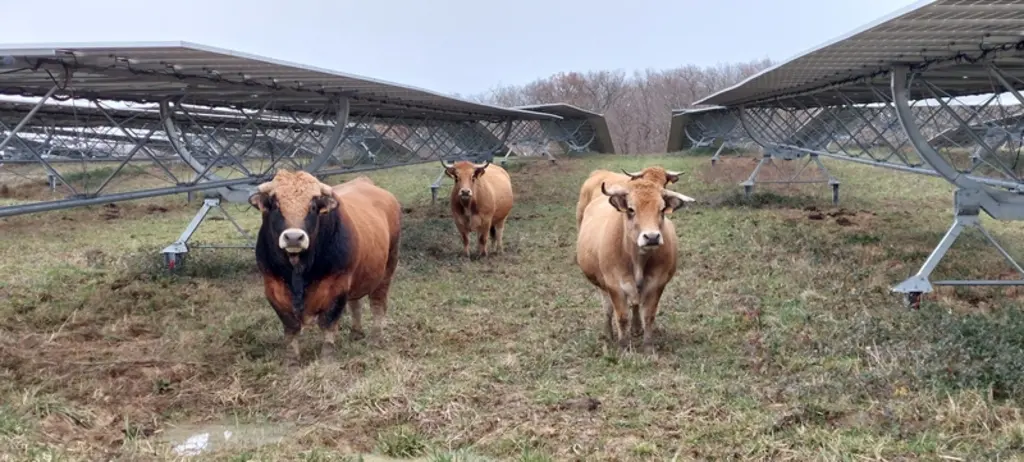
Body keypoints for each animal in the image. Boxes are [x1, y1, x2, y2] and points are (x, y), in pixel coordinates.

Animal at [248, 170, 401, 364]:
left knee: (377, 304)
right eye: (275, 205)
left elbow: (328, 322)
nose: (293, 237)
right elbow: (290, 327)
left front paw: (327, 358)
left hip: (388, 268)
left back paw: (376, 338)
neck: (299, 268)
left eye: (313, 207)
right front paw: (292, 360)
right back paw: (356, 332)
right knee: (355, 303)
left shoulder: (337, 286)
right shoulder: (272, 288)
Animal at [575, 177, 696, 354]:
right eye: (631, 209)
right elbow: (622, 317)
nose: (651, 237)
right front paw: (623, 347)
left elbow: (649, 315)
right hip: (601, 285)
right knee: (607, 309)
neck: (638, 260)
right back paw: (608, 333)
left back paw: (637, 328)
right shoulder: (614, 286)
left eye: (661, 209)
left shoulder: (656, 284)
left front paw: (648, 346)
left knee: (635, 304)